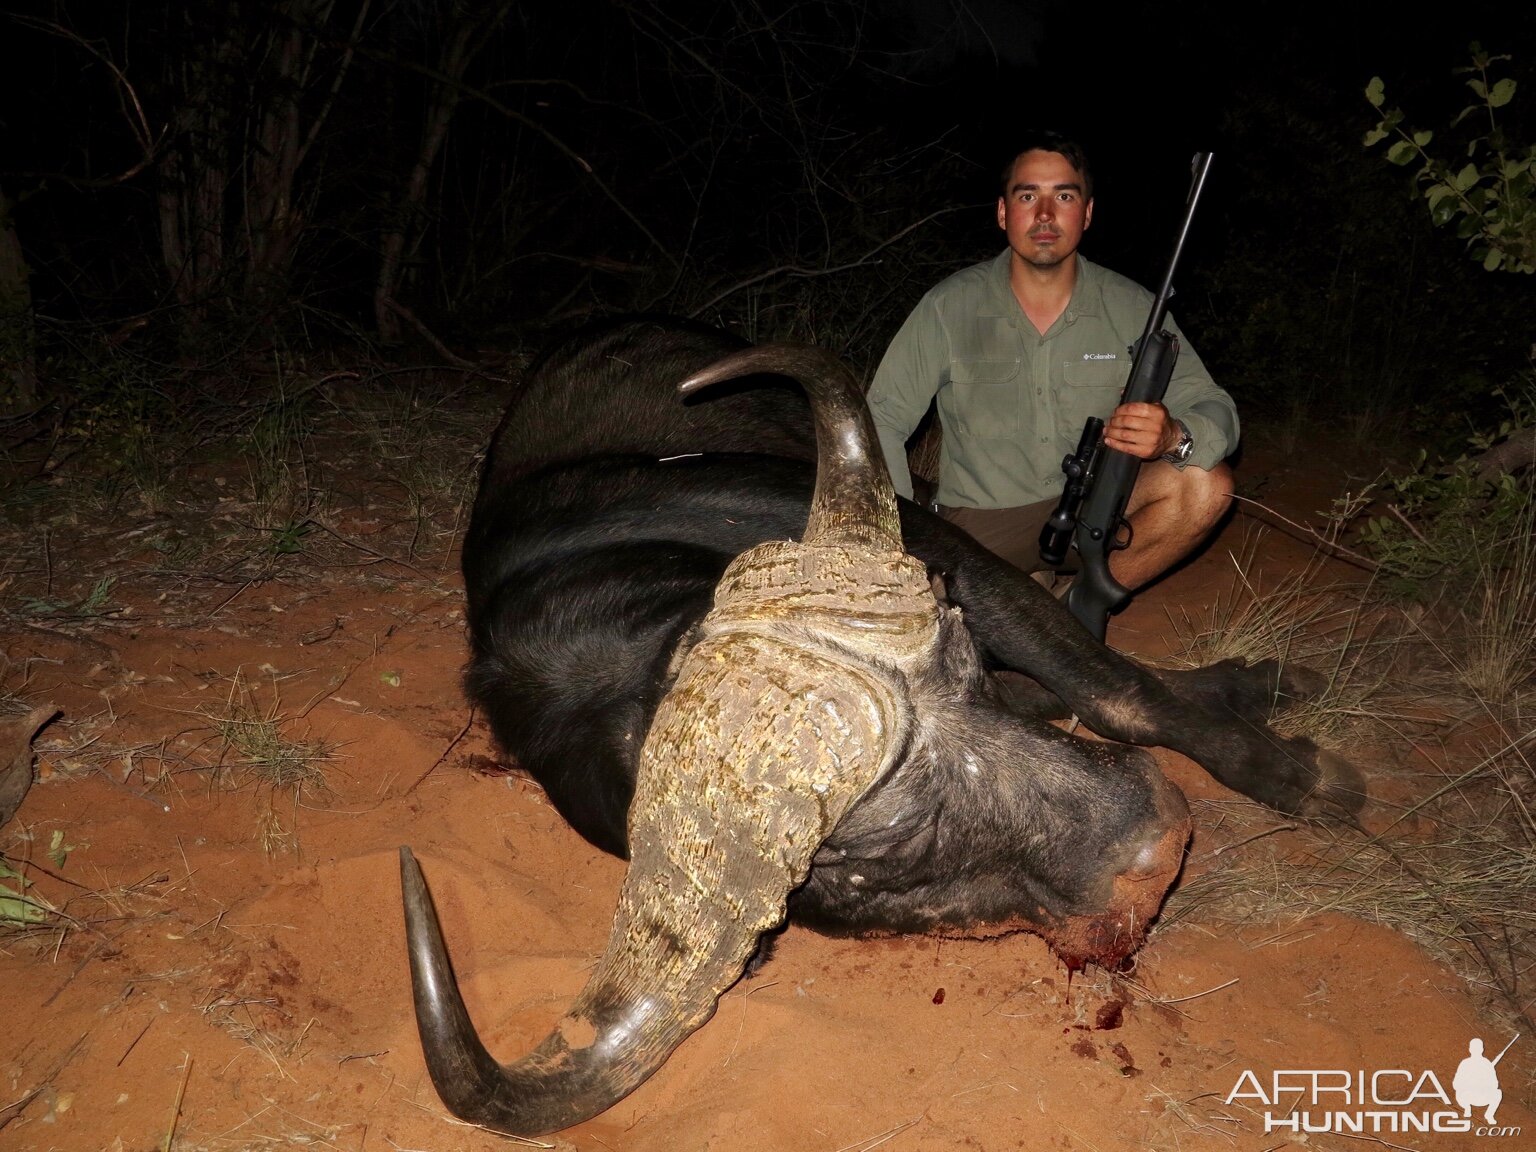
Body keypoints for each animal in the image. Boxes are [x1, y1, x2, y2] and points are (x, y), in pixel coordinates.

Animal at [399, 316, 1370, 1136]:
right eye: (878, 860)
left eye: (961, 662)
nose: (1160, 849)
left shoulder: (957, 562)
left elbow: (1116, 691)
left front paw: (1304, 776)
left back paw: (1264, 679)